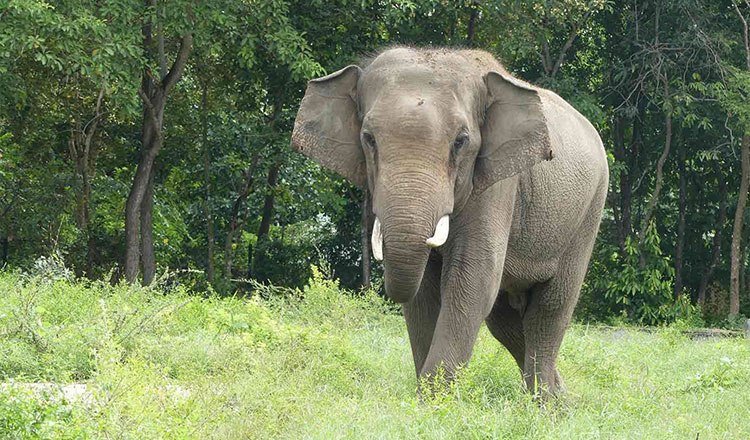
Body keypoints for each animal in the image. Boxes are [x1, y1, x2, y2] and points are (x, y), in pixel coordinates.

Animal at [291, 47, 608, 395]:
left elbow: (473, 278)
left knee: (550, 309)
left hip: (589, 210)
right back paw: (560, 399)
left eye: (461, 141)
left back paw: (546, 401)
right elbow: (424, 295)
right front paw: (426, 397)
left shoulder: (498, 183)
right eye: (368, 138)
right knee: (506, 322)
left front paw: (433, 400)